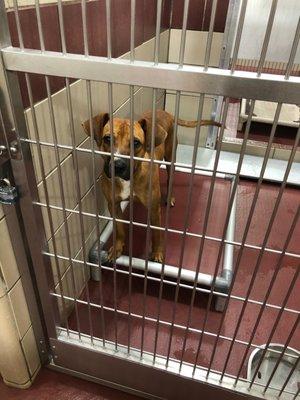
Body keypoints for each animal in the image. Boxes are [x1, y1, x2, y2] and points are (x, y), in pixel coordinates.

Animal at [82, 110, 220, 262]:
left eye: (136, 143)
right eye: (107, 139)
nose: (118, 165)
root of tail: (165, 112)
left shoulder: (154, 209)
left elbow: (156, 234)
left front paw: (157, 253)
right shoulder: (113, 205)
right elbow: (119, 229)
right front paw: (117, 247)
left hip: (171, 159)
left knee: (170, 179)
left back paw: (170, 197)